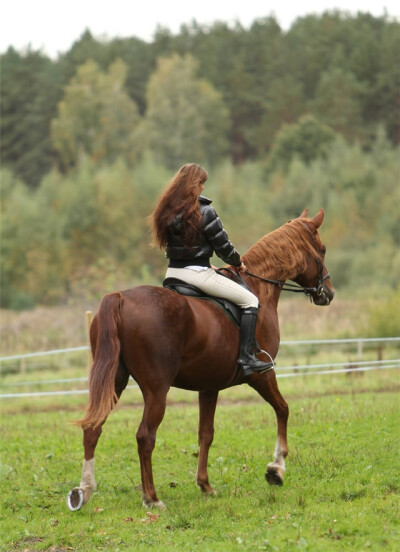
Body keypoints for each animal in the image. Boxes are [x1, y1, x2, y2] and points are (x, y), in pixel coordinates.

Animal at [68, 209, 334, 512]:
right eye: (322, 249)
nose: (328, 292)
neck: (259, 287)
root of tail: (120, 297)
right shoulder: (261, 375)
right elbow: (283, 409)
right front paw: (276, 469)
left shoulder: (209, 387)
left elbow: (206, 433)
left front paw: (205, 485)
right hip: (156, 389)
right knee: (145, 436)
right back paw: (152, 497)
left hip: (114, 380)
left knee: (93, 428)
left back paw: (84, 490)